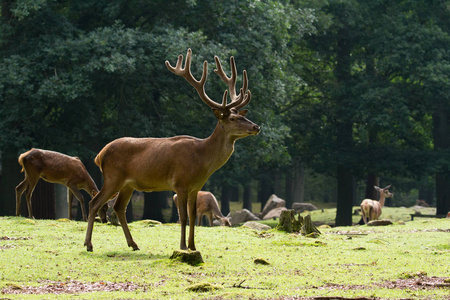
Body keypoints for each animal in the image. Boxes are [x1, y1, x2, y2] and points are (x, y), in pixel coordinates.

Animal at [84, 48, 260, 251]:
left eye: (242, 116)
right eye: (232, 119)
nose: (256, 126)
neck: (202, 160)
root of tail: (99, 155)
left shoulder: (195, 188)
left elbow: (193, 216)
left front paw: (193, 246)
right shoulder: (180, 183)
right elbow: (182, 217)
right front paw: (183, 246)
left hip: (128, 184)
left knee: (119, 207)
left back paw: (133, 244)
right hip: (113, 177)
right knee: (94, 202)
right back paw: (88, 244)